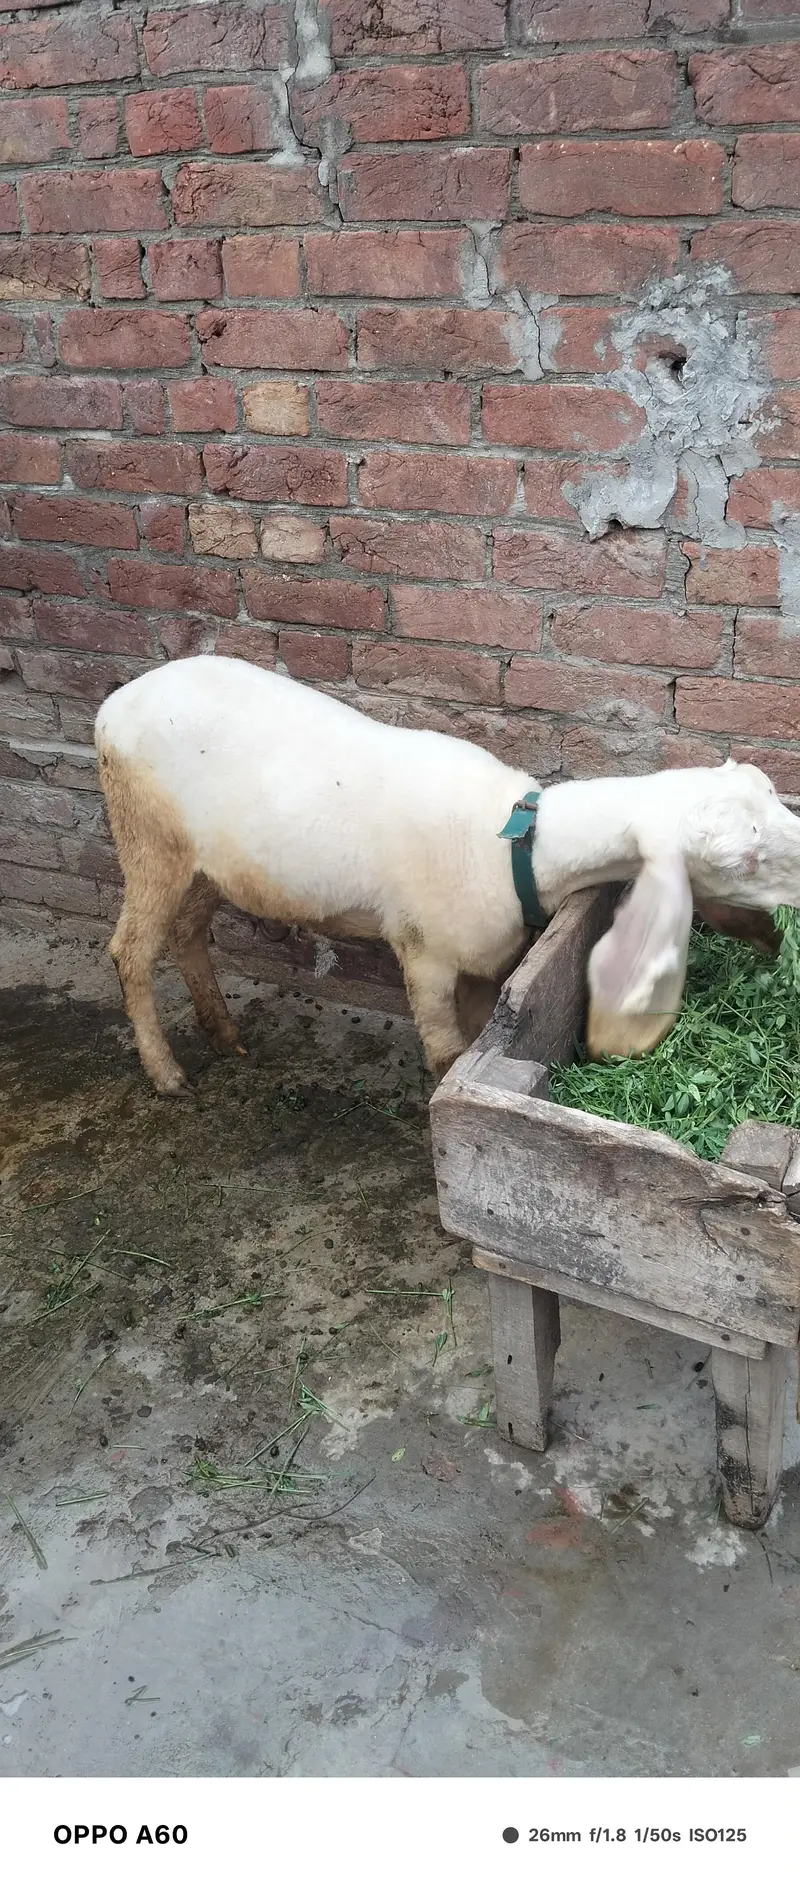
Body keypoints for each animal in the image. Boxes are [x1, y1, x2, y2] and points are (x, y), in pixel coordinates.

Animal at [95, 653, 800, 1096]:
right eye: (737, 860)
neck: (517, 847)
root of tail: (112, 706)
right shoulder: (424, 951)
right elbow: (445, 1052)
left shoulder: (487, 963)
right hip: (147, 837)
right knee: (130, 950)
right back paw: (166, 1074)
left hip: (204, 865)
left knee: (186, 933)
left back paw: (223, 1033)